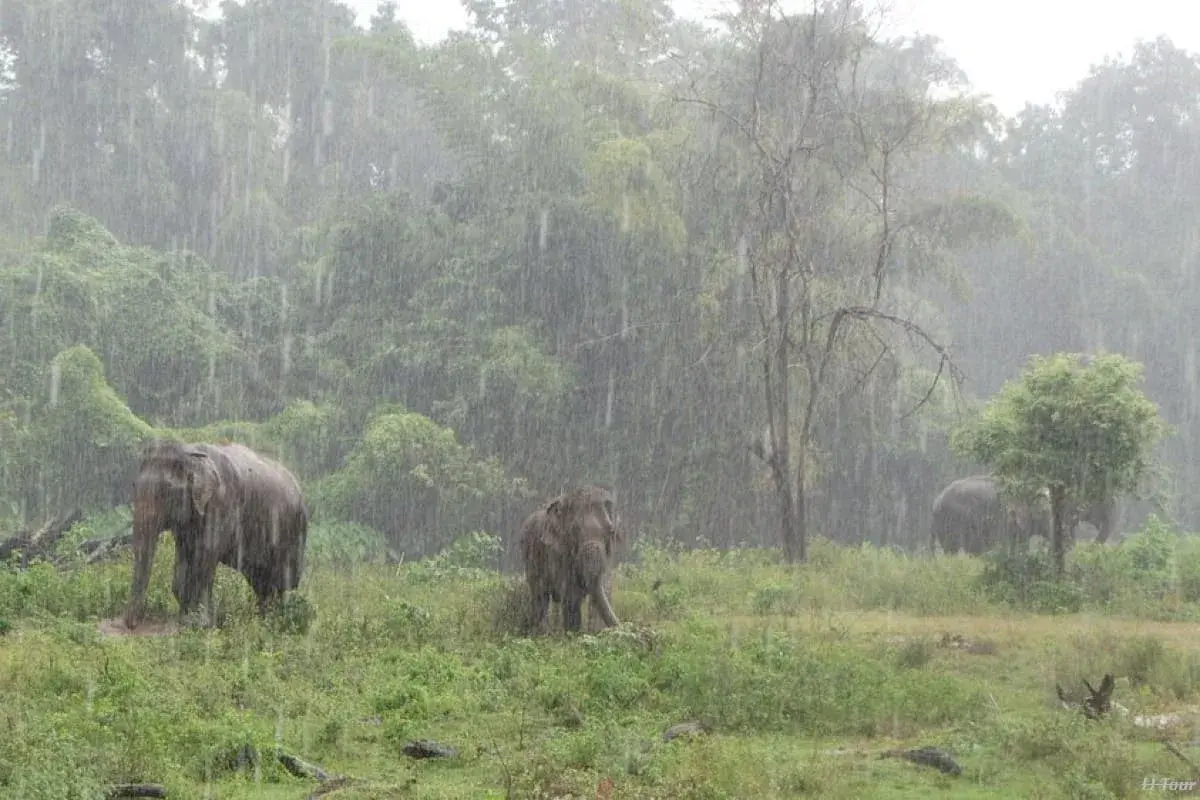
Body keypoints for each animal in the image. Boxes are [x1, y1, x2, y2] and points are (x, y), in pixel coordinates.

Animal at [123, 440, 309, 629]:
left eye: (166, 491)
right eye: (134, 486)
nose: (131, 624)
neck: (190, 453)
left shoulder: (220, 504)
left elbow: (205, 555)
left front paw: (201, 625)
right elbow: (184, 556)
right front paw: (186, 620)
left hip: (293, 531)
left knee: (281, 581)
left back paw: (275, 622)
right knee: (261, 581)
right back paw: (262, 620)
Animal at [520, 484, 622, 634]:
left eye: (611, 531)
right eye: (575, 530)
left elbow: (600, 590)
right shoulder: (558, 554)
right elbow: (571, 595)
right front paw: (572, 635)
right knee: (540, 595)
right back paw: (542, 633)